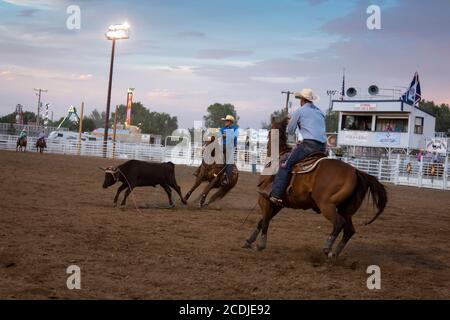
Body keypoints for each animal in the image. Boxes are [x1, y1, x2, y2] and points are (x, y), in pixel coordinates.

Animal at [243, 118, 386, 260]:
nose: (248, 142)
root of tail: (355, 172)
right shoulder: (278, 204)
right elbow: (262, 221)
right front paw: (249, 241)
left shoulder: (265, 200)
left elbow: (265, 221)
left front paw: (260, 245)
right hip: (346, 210)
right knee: (349, 230)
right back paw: (334, 254)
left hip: (326, 205)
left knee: (339, 223)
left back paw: (327, 248)